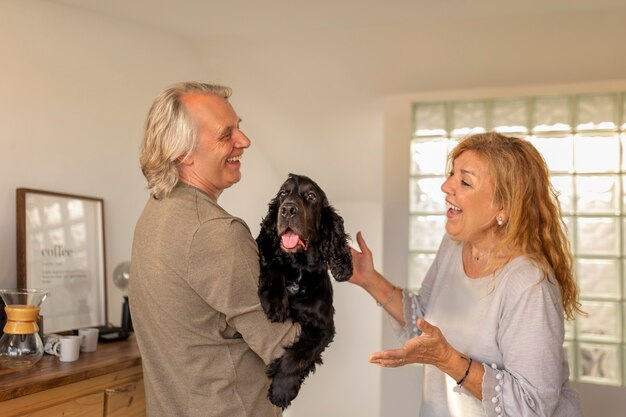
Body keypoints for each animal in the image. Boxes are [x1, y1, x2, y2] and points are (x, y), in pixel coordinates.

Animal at [254, 171, 352, 406]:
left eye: (311, 196)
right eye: (283, 193)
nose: (288, 209)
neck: (299, 272)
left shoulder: (324, 328)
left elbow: (297, 355)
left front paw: (282, 390)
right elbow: (274, 263)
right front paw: (275, 302)